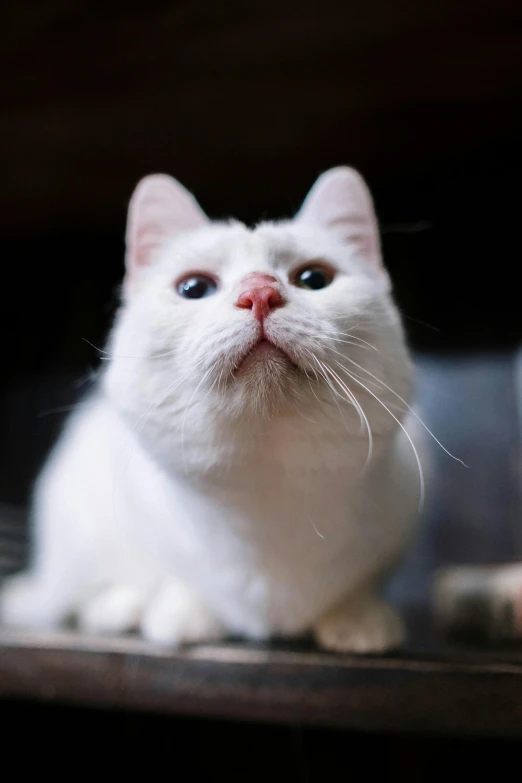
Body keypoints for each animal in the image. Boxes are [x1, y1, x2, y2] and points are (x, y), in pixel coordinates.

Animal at [1, 168, 418, 652]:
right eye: (194, 288)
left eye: (315, 278)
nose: (259, 291)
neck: (265, 500)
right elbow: (174, 576)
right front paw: (183, 615)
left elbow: (358, 584)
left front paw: (357, 617)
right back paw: (119, 609)